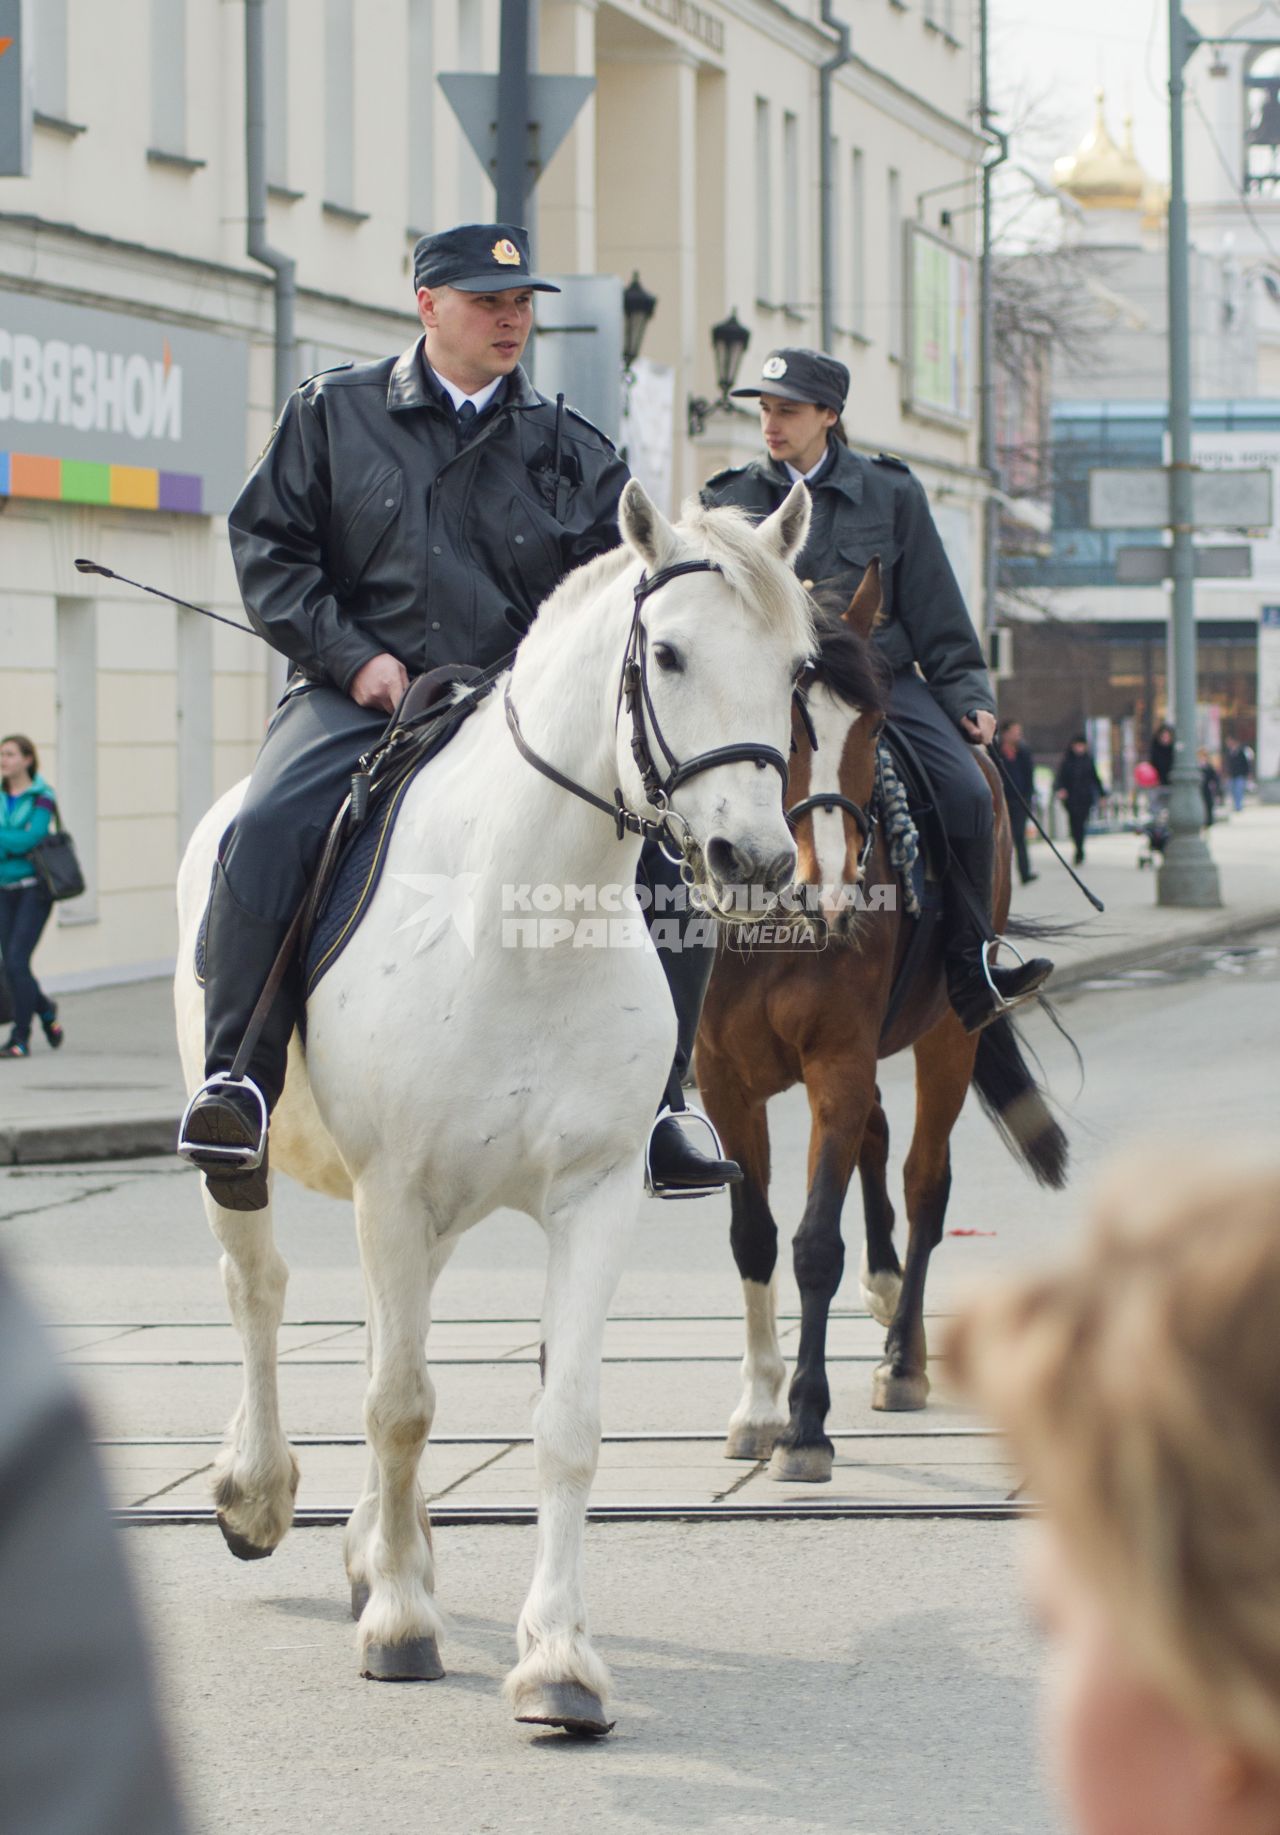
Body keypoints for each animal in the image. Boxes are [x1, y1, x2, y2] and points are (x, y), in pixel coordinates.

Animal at [172, 477, 806, 1732]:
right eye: (666, 651)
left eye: (799, 666)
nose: (753, 860)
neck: (517, 919)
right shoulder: (393, 1187)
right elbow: (399, 1403)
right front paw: (399, 1622)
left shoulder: (592, 1194)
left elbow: (560, 1422)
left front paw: (558, 1657)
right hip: (258, 1157)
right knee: (259, 1291)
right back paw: (260, 1492)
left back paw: (383, 1542)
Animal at [693, 565, 1063, 1482]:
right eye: (782, 717)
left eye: (872, 725)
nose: (829, 887)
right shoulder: (723, 1080)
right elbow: (754, 1235)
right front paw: (759, 1408)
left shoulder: (839, 1059)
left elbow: (814, 1242)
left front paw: (805, 1423)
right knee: (879, 1139)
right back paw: (890, 1294)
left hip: (948, 1036)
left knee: (925, 1180)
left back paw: (901, 1355)